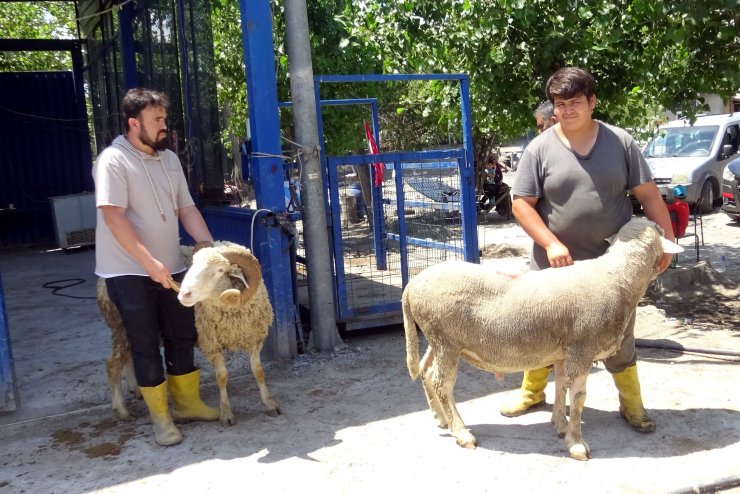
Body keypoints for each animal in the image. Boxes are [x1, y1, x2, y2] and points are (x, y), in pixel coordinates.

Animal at [99, 241, 278, 426]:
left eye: (220, 270)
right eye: (193, 264)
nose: (184, 294)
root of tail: (103, 280)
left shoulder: (255, 338)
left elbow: (258, 371)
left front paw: (269, 404)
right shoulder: (211, 343)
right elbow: (222, 376)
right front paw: (226, 413)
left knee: (128, 359)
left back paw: (136, 389)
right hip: (122, 326)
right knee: (112, 364)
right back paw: (122, 411)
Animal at [404, 218, 684, 462]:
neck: (617, 277)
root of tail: (412, 285)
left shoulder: (564, 352)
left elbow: (560, 386)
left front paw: (560, 425)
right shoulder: (582, 350)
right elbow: (579, 397)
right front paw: (576, 444)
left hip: (438, 339)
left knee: (427, 372)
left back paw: (442, 419)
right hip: (447, 341)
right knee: (442, 383)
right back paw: (461, 432)